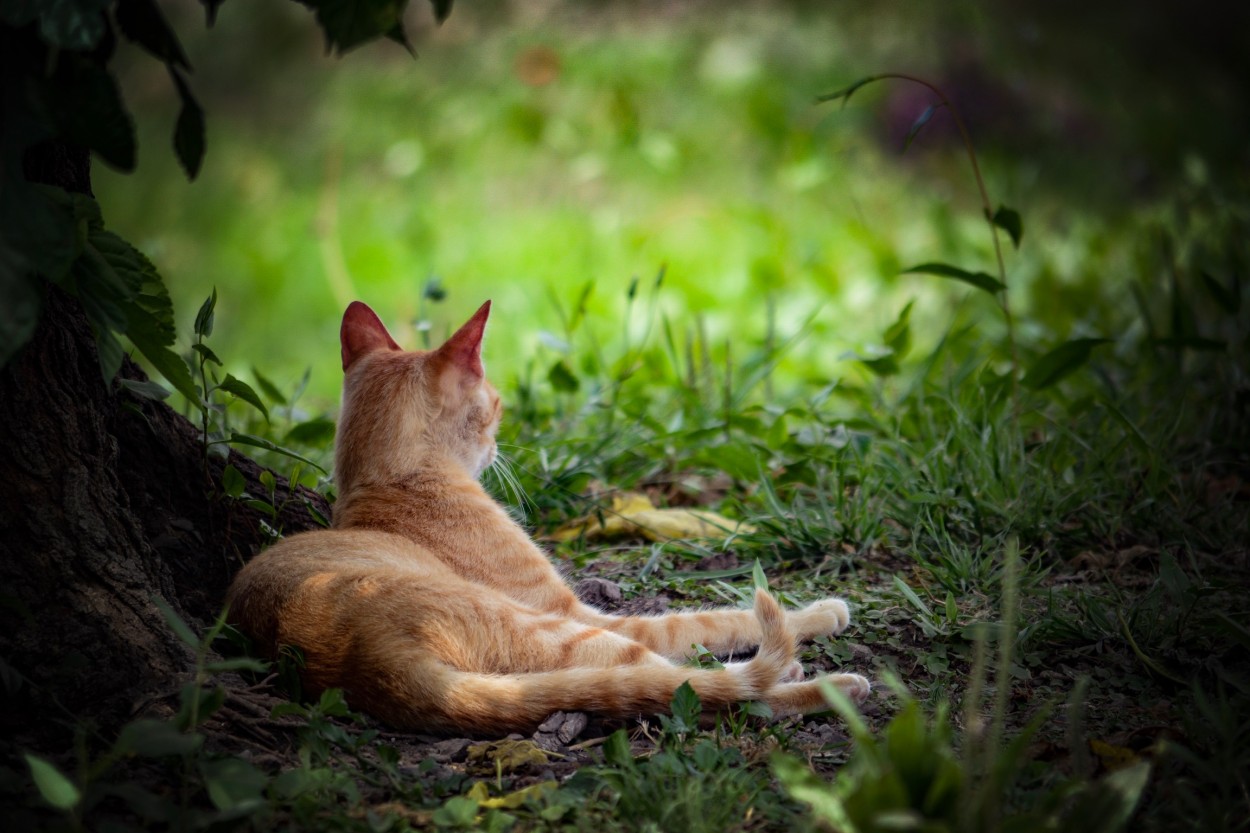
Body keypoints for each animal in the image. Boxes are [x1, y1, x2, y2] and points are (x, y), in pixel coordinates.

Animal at [227, 301, 870, 730]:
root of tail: (371, 660)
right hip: (561, 633)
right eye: (496, 406)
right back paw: (824, 684)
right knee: (697, 686)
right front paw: (818, 612)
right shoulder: (587, 614)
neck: (391, 481)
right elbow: (714, 619)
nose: (498, 445)